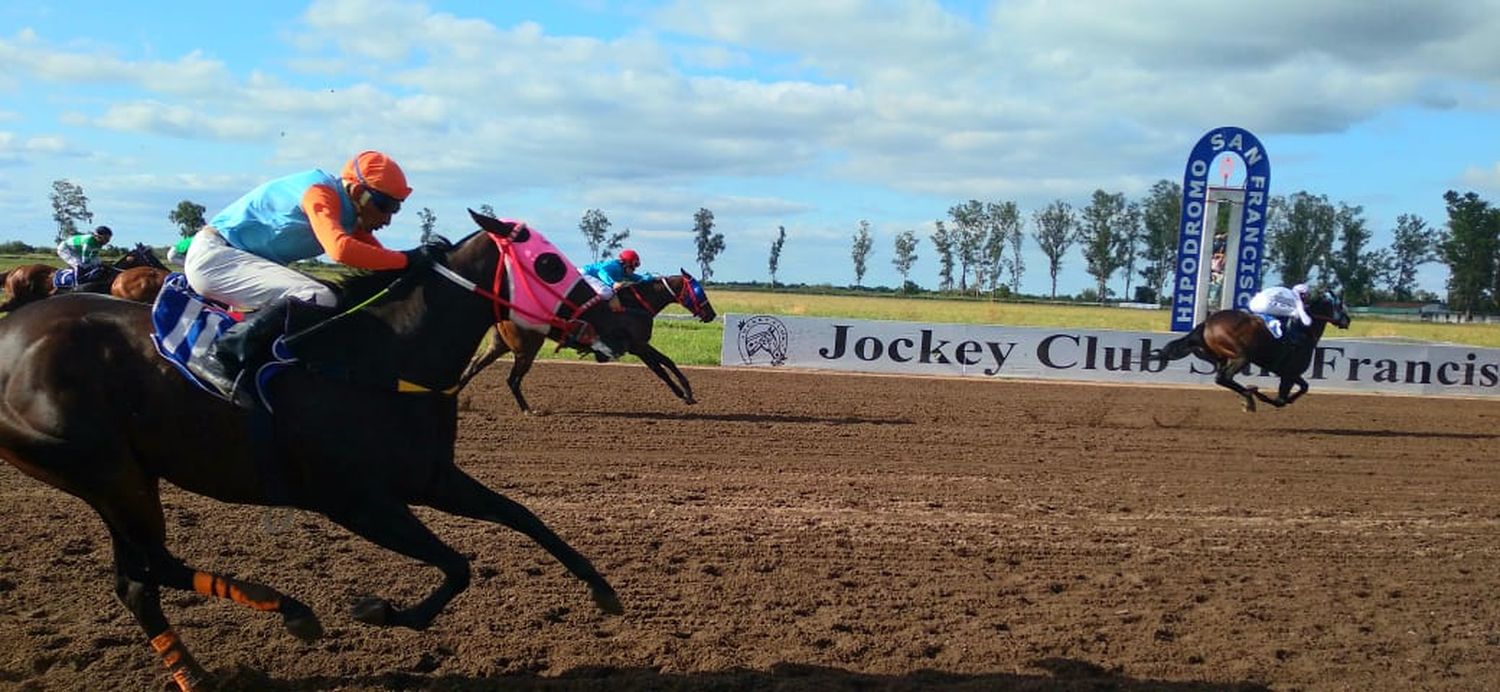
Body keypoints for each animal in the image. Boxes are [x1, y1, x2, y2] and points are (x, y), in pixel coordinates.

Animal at [0, 213, 633, 687]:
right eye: (549, 263)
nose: (618, 326)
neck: (380, 358)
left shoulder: (431, 478)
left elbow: (522, 516)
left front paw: (603, 588)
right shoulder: (355, 501)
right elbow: (457, 565)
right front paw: (377, 609)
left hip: (121, 477)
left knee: (139, 580)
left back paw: (205, 669)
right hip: (108, 473)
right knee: (151, 569)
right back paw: (289, 611)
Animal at [453, 268, 717, 411]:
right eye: (698, 290)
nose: (711, 314)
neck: (635, 304)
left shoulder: (639, 346)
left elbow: (666, 364)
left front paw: (687, 393)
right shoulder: (638, 346)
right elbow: (661, 368)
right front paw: (684, 393)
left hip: (499, 344)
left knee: (474, 367)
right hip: (527, 347)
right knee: (513, 379)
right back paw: (528, 410)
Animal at [1152, 289, 1356, 411]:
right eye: (1340, 305)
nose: (1348, 320)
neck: (1305, 331)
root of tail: (1207, 323)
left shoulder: (1287, 372)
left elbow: (1304, 387)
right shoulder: (1289, 372)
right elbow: (1282, 399)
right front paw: (1261, 394)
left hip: (1217, 356)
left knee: (1221, 378)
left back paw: (1248, 396)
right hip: (1242, 356)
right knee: (1224, 377)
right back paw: (1250, 397)